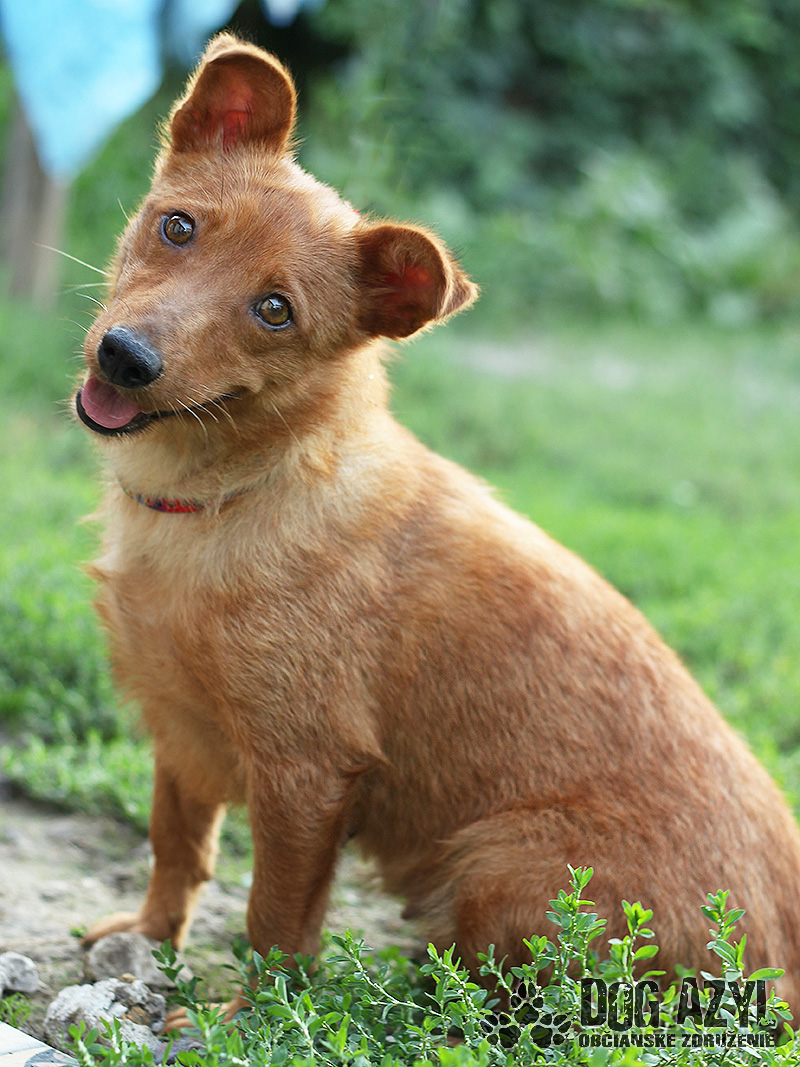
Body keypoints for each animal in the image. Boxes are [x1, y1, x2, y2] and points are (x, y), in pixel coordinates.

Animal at [77, 34, 800, 1023]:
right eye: (177, 227)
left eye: (275, 310)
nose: (125, 357)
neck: (220, 498)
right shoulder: (178, 732)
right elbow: (175, 850)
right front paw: (149, 940)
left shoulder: (306, 775)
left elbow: (275, 923)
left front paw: (247, 1018)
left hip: (501, 865)